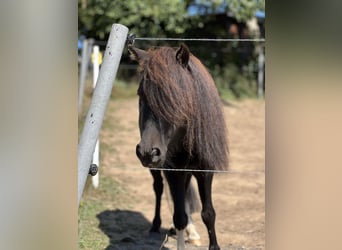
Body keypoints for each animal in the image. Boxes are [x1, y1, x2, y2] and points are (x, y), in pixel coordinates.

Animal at [130, 44, 228, 249]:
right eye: (140, 95)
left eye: (175, 96)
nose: (147, 152)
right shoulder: (173, 170)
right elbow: (179, 216)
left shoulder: (205, 170)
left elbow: (208, 213)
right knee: (159, 188)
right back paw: (155, 225)